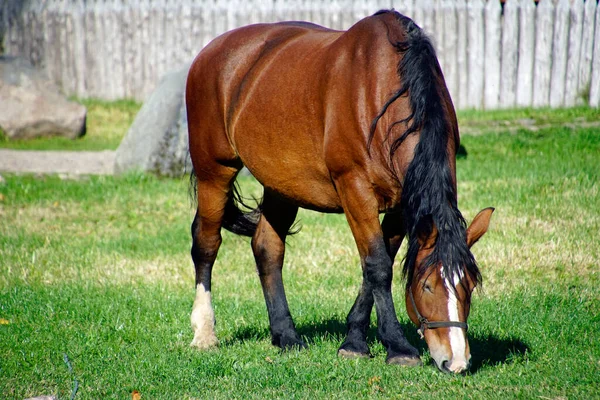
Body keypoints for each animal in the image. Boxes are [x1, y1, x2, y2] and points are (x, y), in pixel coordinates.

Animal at [186, 9, 492, 374]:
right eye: (427, 285)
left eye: (469, 286)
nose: (456, 361)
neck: (384, 90)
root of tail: (210, 52)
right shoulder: (355, 190)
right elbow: (377, 265)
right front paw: (397, 347)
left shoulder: (401, 203)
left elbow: (379, 262)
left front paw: (354, 339)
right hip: (214, 171)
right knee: (206, 243)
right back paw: (204, 333)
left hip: (281, 185)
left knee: (267, 248)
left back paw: (286, 335)